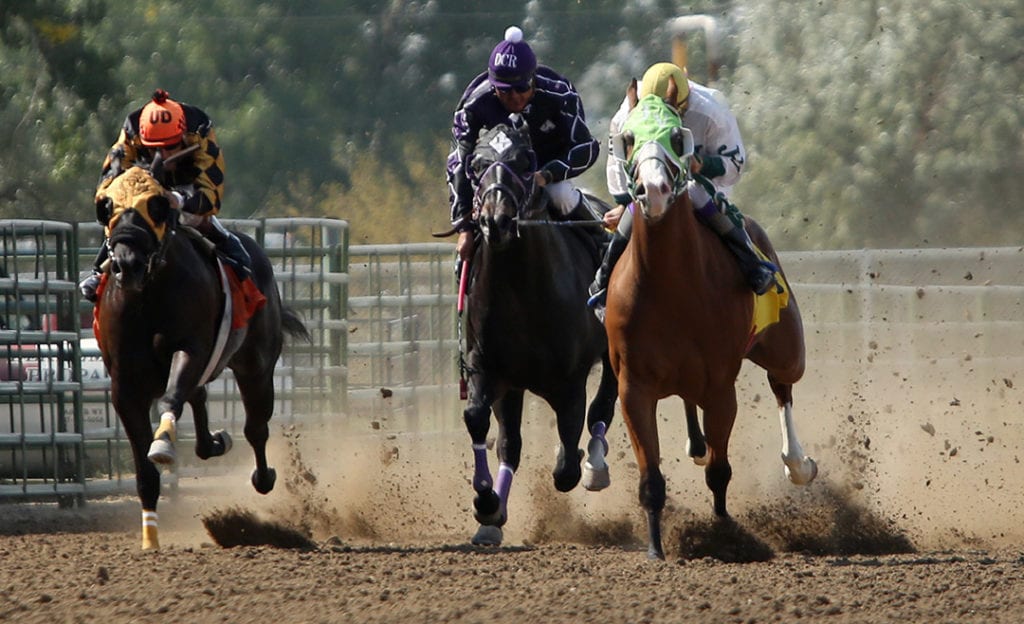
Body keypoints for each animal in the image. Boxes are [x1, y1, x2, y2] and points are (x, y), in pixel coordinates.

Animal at [94, 167, 309, 549]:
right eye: (109, 209)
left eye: (157, 207)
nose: (127, 265)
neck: (149, 295)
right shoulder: (124, 387)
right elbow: (145, 472)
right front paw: (150, 538)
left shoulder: (190, 350)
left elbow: (171, 397)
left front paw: (163, 443)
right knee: (201, 402)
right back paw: (216, 442)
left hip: (256, 366)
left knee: (255, 427)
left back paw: (263, 476)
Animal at [462, 116, 614, 545]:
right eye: (476, 164)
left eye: (524, 160)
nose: (495, 221)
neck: (522, 292)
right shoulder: (490, 371)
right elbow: (483, 425)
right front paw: (488, 506)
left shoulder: (570, 382)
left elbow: (566, 465)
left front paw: (578, 460)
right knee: (511, 443)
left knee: (604, 406)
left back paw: (596, 465)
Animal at [606, 78, 815, 561]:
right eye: (629, 138)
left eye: (676, 137)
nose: (654, 191)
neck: (671, 285)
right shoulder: (633, 388)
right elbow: (651, 479)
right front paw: (655, 549)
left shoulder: (722, 385)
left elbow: (720, 472)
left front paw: (725, 536)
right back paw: (696, 444)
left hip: (786, 348)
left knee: (783, 386)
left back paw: (798, 464)